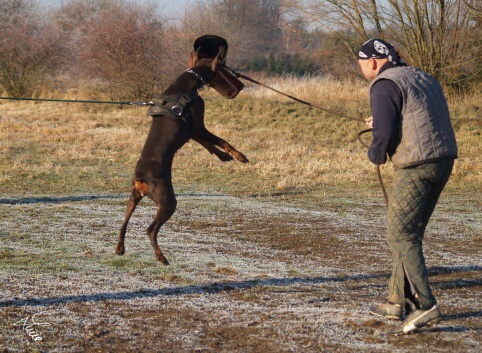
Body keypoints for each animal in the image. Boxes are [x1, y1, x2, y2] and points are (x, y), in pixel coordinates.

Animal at [116, 50, 249, 264]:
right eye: (223, 66)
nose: (240, 82)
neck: (189, 83)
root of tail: (141, 178)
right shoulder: (198, 126)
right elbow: (222, 141)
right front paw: (240, 156)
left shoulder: (193, 131)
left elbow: (210, 145)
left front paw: (224, 157)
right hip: (167, 201)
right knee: (150, 229)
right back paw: (161, 257)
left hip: (133, 197)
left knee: (124, 223)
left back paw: (120, 248)